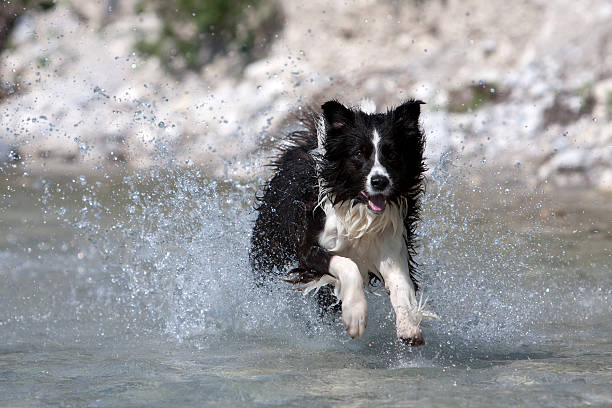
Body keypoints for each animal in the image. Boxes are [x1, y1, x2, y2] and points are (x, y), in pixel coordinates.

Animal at [251, 98, 438, 344]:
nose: (379, 181)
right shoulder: (310, 246)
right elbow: (348, 265)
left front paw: (409, 326)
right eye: (359, 153)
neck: (357, 208)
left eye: (392, 154)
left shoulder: (392, 245)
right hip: (270, 243)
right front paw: (355, 316)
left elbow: (401, 284)